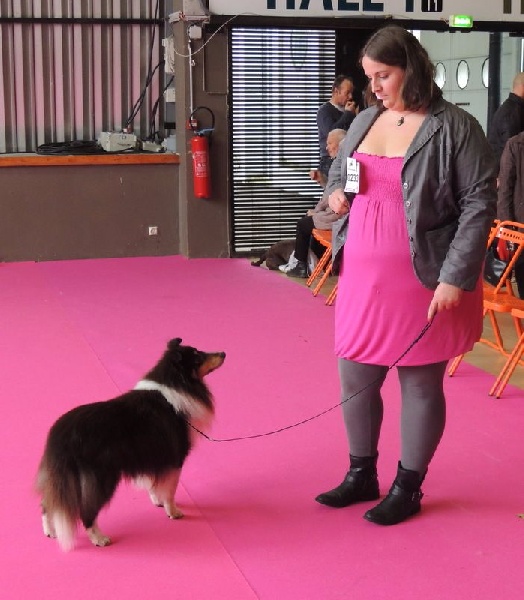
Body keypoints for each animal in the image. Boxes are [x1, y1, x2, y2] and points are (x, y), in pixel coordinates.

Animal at [36, 338, 225, 551]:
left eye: (198, 351)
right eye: (198, 357)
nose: (223, 353)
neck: (176, 383)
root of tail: (60, 437)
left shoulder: (154, 455)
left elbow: (155, 484)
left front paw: (157, 501)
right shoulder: (175, 458)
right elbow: (170, 490)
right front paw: (173, 512)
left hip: (61, 479)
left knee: (47, 504)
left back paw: (50, 531)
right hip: (99, 479)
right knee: (86, 511)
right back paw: (100, 539)